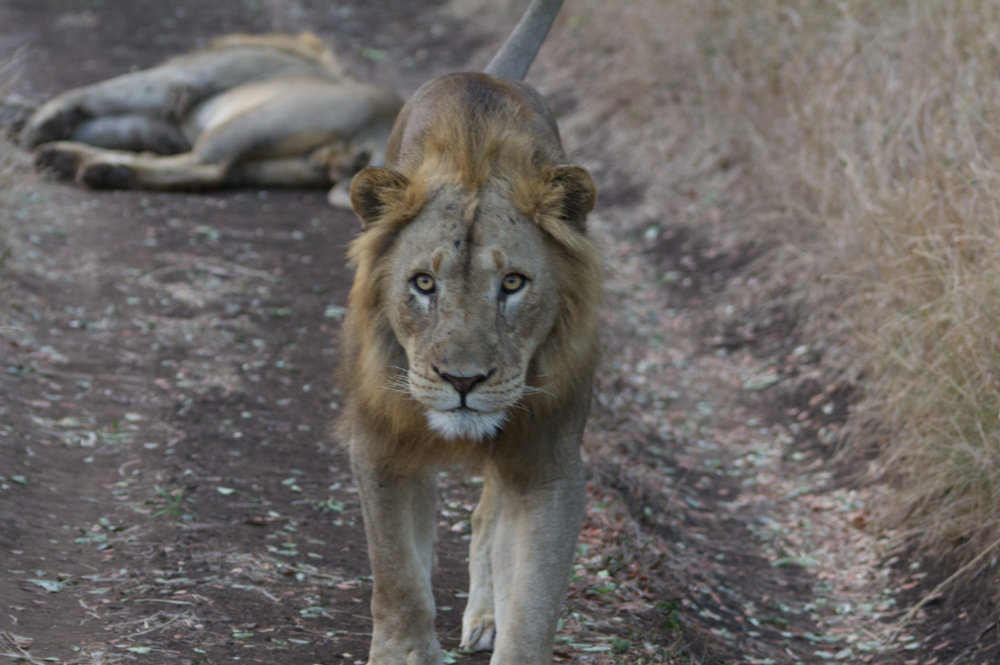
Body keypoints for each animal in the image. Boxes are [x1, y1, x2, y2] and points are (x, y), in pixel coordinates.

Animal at [19, 32, 402, 204]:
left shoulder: (181, 79)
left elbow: (99, 92)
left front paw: (38, 123)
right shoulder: (164, 126)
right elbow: (110, 123)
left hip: (253, 123)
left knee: (205, 167)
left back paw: (93, 168)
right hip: (271, 164)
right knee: (206, 173)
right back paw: (77, 161)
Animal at [338, 1, 600, 663]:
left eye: (512, 283)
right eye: (423, 283)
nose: (463, 381)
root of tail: (489, 73)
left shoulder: (548, 461)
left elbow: (533, 601)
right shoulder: (380, 443)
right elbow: (397, 576)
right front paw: (404, 651)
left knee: (487, 521)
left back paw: (483, 617)